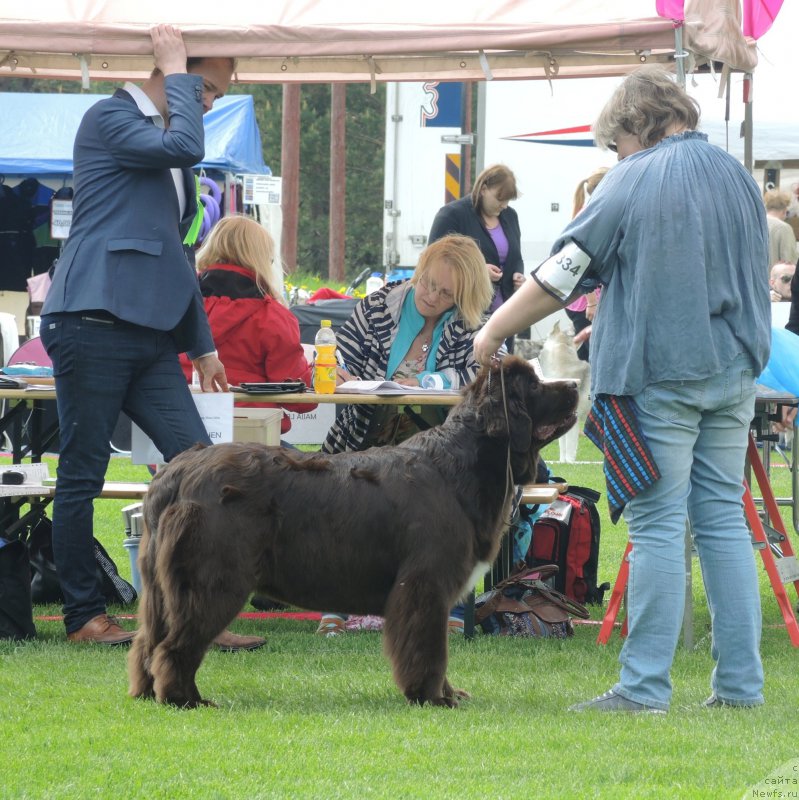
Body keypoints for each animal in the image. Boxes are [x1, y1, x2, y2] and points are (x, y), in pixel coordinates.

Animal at [128, 356, 580, 708]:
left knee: (148, 642)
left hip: (161, 587)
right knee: (174, 646)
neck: (462, 465)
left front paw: (448, 694)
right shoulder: (425, 584)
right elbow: (429, 649)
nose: (576, 383)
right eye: (534, 385)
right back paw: (185, 699)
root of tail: (177, 472)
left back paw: (149, 693)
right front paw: (433, 697)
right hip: (214, 579)